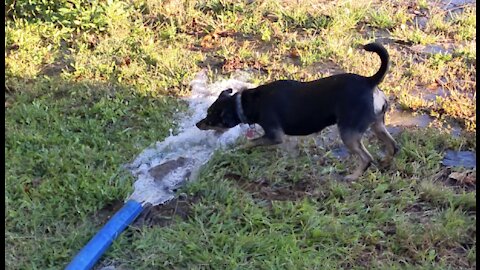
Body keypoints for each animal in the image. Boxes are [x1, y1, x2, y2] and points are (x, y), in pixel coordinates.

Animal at [197, 42, 400, 180]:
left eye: (210, 118)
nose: (198, 124)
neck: (247, 102)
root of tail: (369, 81)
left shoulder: (274, 136)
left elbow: (250, 142)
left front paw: (237, 149)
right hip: (377, 124)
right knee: (393, 146)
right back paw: (385, 164)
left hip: (349, 132)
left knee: (366, 158)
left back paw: (353, 177)